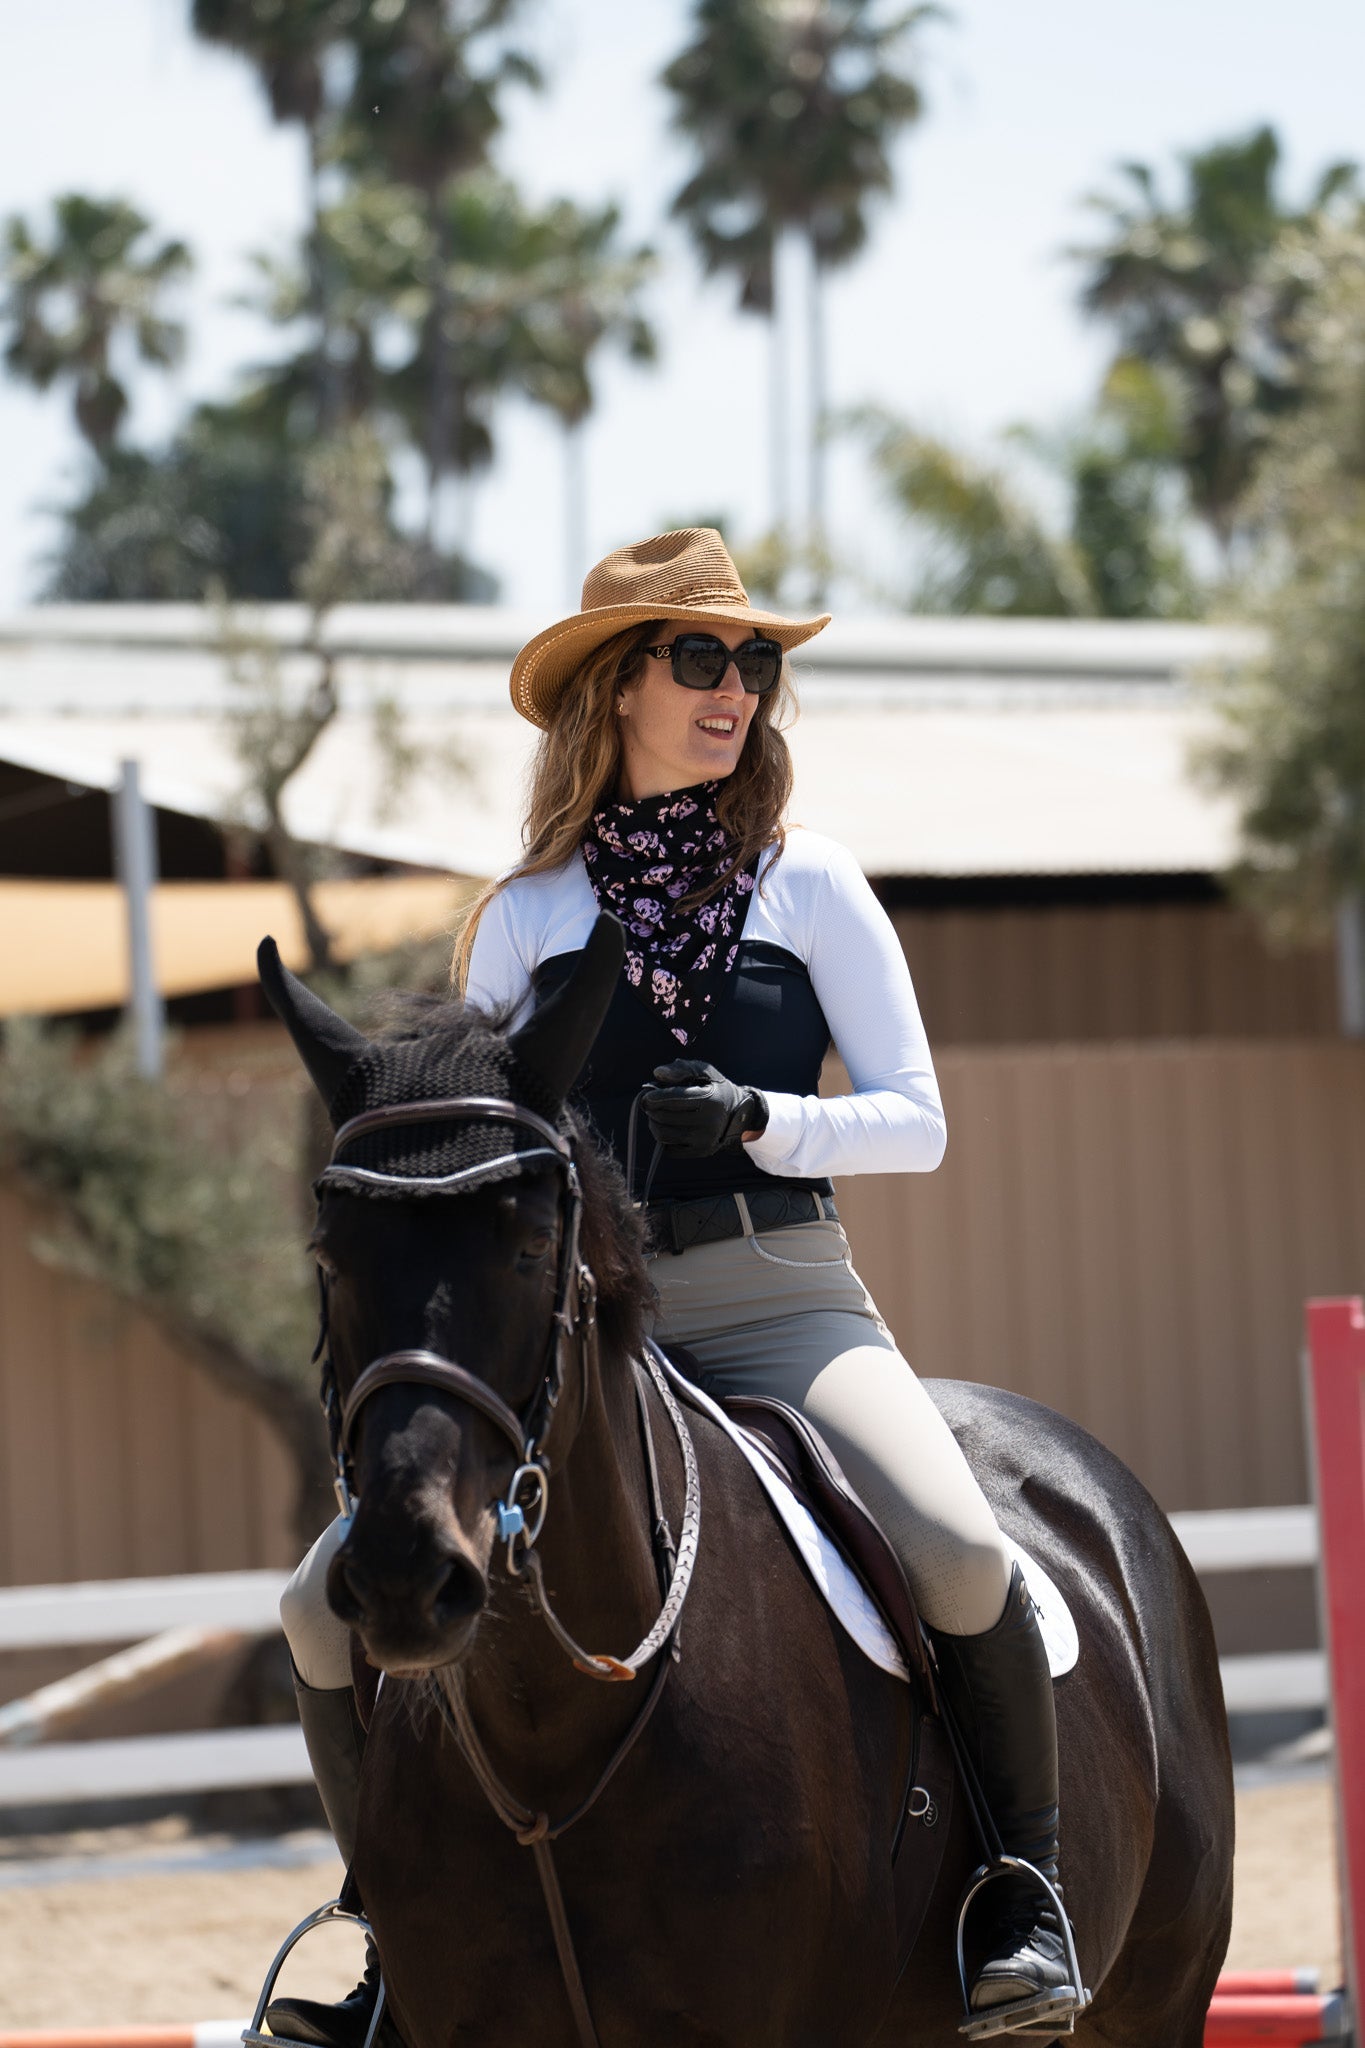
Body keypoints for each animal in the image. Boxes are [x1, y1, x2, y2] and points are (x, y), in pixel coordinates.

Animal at [261, 921, 1236, 2039]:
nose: (403, 1576)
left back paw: (1024, 1937)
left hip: (1160, 1995)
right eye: (329, 1254)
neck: (550, 1732)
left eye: (532, 1244)